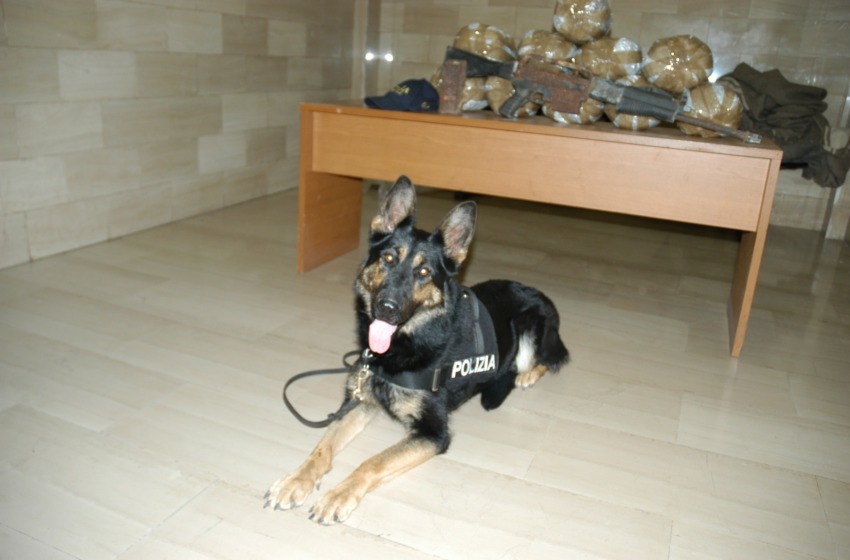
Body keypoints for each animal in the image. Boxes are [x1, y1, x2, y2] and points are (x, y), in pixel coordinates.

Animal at [265, 175, 569, 524]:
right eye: (388, 259)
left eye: (423, 273)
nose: (386, 309)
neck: (403, 347)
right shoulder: (359, 404)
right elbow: (322, 448)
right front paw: (296, 481)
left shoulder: (432, 433)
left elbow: (373, 462)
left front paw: (338, 495)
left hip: (528, 326)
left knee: (552, 358)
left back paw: (527, 375)